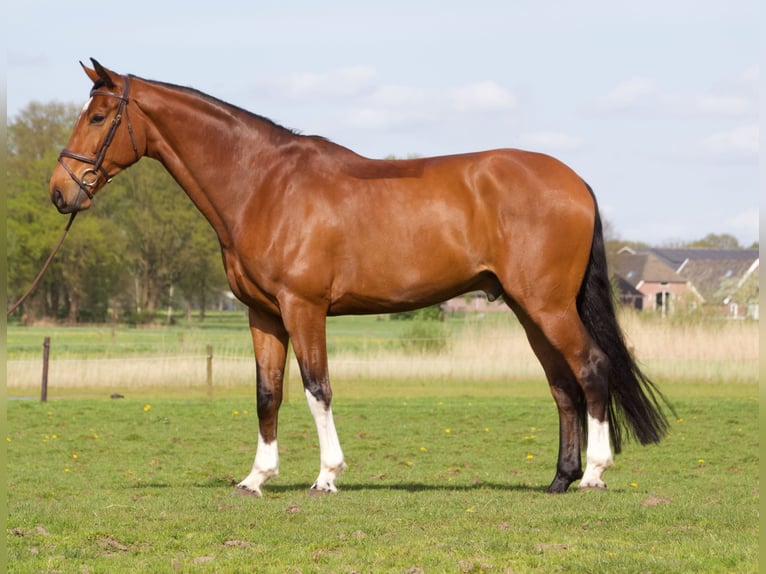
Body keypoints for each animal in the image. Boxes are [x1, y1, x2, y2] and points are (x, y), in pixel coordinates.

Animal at [51, 60, 672, 498]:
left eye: (99, 117)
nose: (61, 192)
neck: (264, 183)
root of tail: (576, 182)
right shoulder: (263, 313)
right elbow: (268, 393)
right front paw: (256, 478)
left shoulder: (303, 307)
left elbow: (316, 388)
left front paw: (327, 476)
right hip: (528, 309)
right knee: (562, 384)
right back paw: (559, 479)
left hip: (548, 305)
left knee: (590, 369)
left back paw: (593, 474)